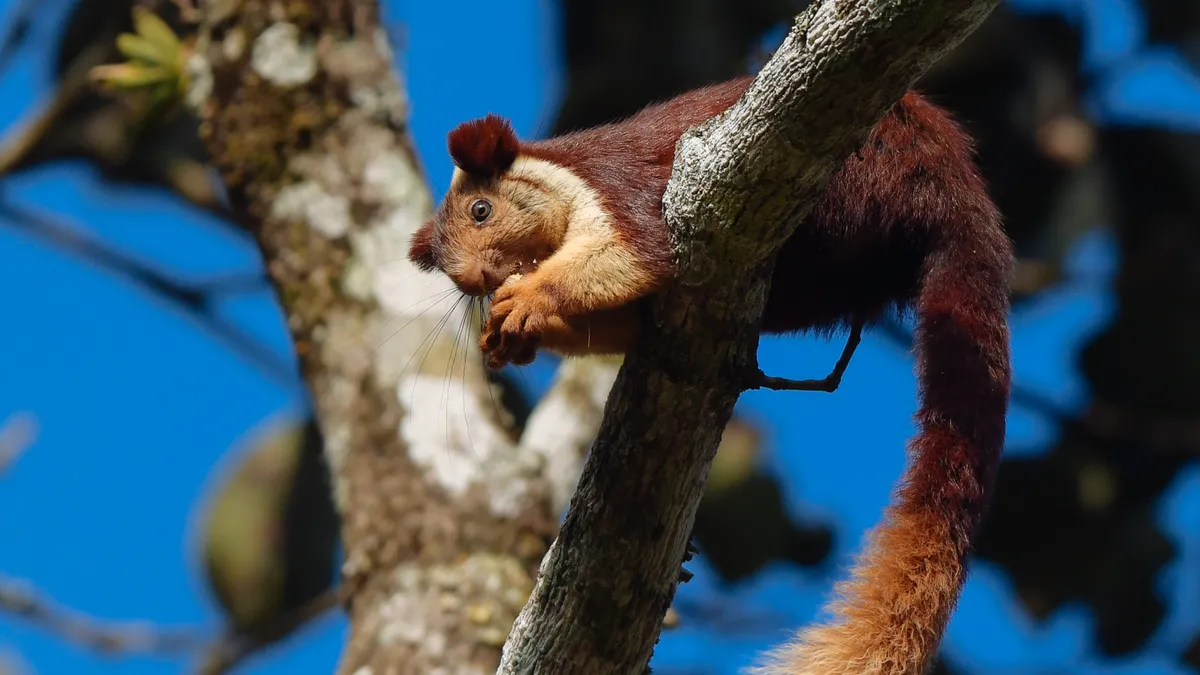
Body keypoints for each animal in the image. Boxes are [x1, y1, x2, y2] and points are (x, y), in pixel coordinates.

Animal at [408, 73, 1013, 675]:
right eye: (446, 270)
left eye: (481, 210)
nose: (472, 280)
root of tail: (960, 196)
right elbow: (626, 316)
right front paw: (515, 335)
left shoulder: (621, 190)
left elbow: (634, 255)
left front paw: (533, 298)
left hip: (862, 171)